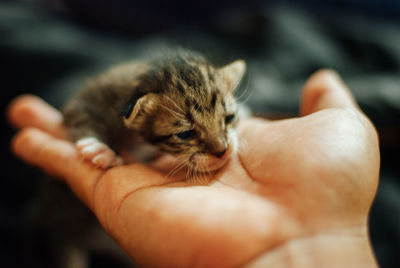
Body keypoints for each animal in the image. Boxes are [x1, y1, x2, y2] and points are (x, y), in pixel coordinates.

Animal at [7, 69, 380, 268]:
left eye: (227, 118)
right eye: (186, 133)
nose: (222, 150)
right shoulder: (91, 99)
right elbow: (81, 115)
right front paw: (99, 148)